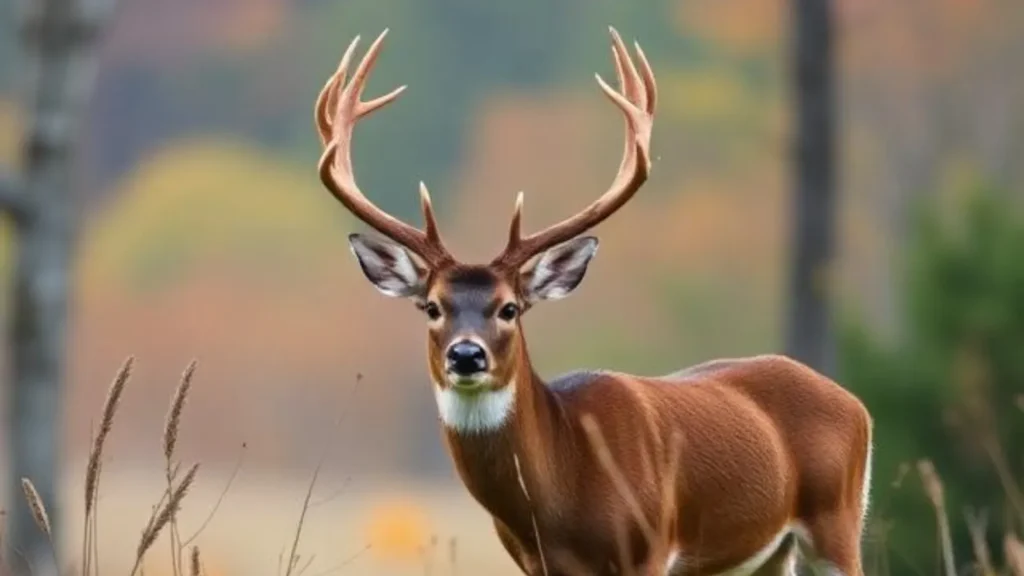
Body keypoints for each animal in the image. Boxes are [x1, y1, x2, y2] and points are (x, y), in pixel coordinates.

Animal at [312, 27, 873, 576]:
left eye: (509, 308)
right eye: (432, 307)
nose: (466, 354)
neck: (563, 496)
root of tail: (854, 403)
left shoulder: (648, 546)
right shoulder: (533, 563)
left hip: (837, 519)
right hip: (766, 555)